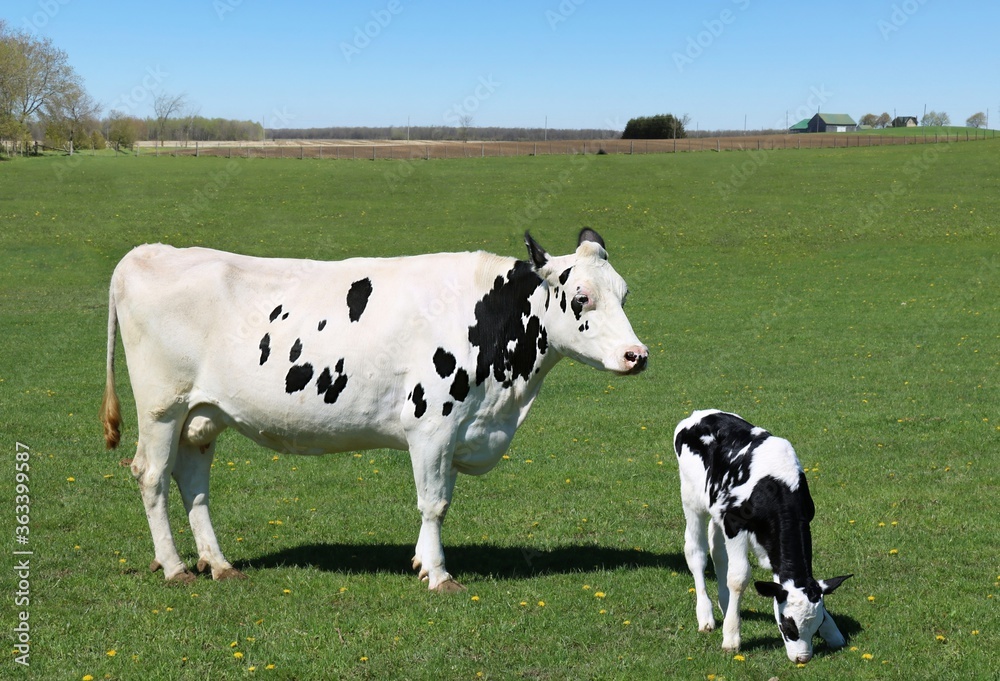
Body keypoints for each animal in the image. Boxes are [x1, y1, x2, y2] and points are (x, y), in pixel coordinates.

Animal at [101, 228, 648, 588]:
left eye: (624, 294)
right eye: (582, 297)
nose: (636, 355)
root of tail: (147, 252)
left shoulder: (458, 430)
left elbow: (442, 498)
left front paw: (425, 562)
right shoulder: (431, 424)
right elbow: (434, 503)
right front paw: (438, 574)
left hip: (201, 415)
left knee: (192, 482)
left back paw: (217, 563)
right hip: (161, 408)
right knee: (151, 475)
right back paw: (174, 567)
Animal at [672, 406, 852, 660]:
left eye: (816, 624)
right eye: (786, 626)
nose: (803, 658)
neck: (775, 485)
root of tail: (699, 414)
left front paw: (833, 632)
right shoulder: (734, 524)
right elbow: (738, 577)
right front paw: (731, 638)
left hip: (716, 508)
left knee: (717, 553)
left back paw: (726, 606)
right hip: (691, 499)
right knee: (696, 553)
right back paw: (706, 616)